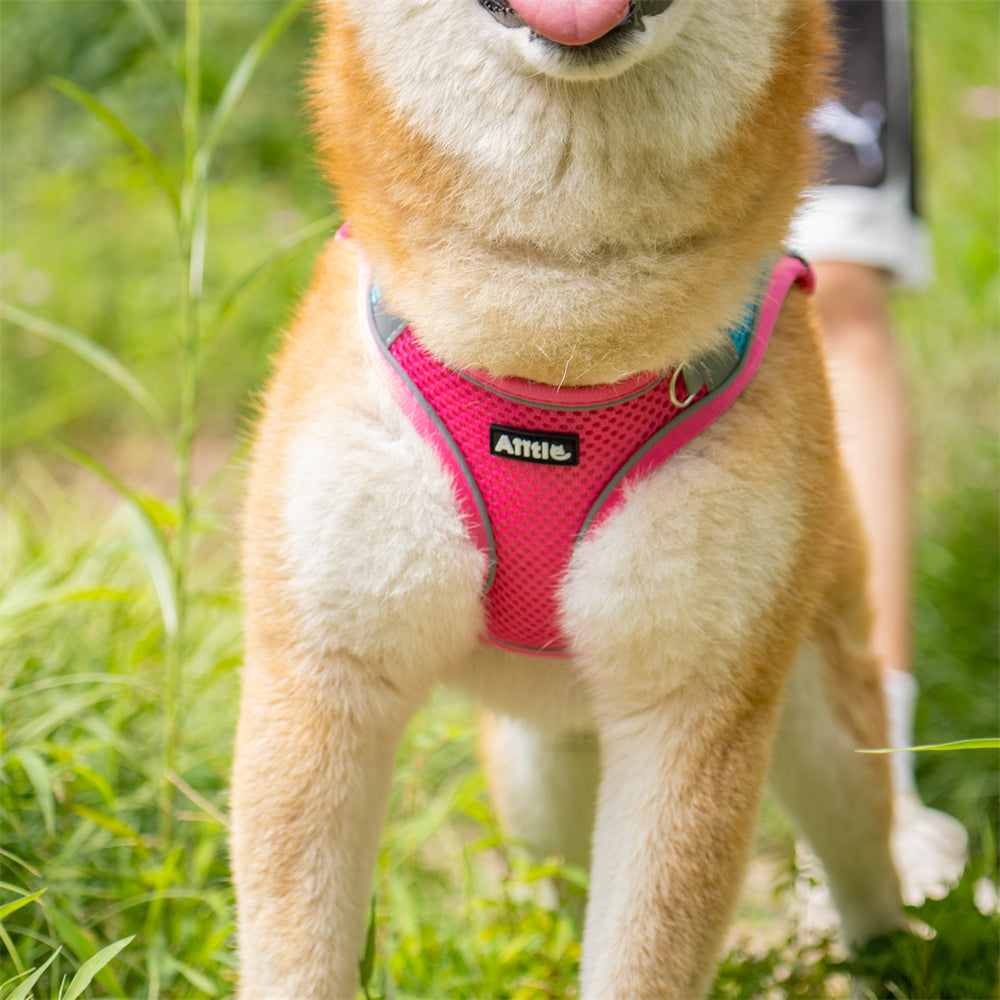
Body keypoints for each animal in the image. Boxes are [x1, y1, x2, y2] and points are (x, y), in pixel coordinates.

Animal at [232, 3, 908, 996]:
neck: (554, 358)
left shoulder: (686, 717)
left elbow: (642, 959)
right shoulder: (322, 681)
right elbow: (298, 959)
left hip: (823, 743)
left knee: (870, 885)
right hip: (538, 769)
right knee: (556, 882)